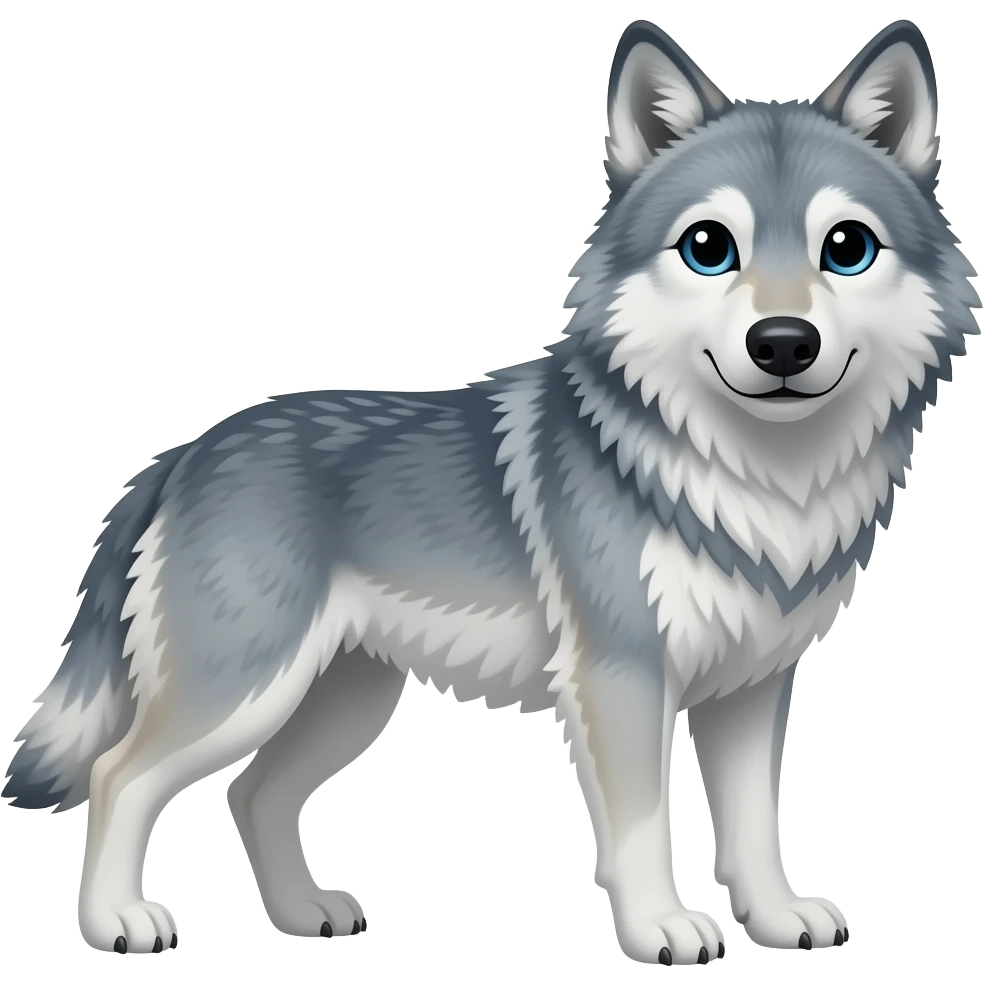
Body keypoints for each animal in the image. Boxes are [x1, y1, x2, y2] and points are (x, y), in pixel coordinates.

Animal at [3, 17, 980, 964]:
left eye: (845, 248)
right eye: (708, 248)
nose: (782, 343)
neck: (753, 479)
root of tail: (184, 451)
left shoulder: (751, 686)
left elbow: (754, 828)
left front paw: (775, 921)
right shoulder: (622, 676)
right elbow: (642, 831)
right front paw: (660, 929)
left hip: (343, 699)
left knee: (251, 794)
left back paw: (303, 914)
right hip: (245, 688)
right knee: (119, 775)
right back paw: (118, 923)